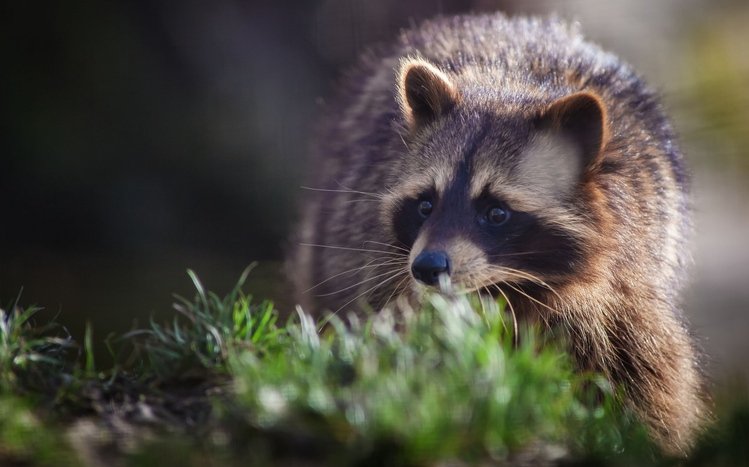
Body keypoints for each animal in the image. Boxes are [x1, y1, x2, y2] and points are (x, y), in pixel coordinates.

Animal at [288, 14, 705, 453]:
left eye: (496, 213)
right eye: (426, 205)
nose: (427, 267)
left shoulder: (624, 292)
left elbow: (645, 377)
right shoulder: (387, 276)